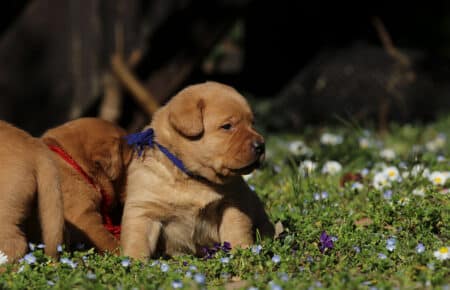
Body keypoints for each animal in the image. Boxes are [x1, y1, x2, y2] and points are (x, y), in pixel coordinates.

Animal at [120, 80, 274, 260]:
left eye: (252, 124)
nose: (261, 145)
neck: (193, 178)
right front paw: (133, 261)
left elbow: (236, 230)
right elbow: (137, 240)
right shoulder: (143, 209)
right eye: (227, 126)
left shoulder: (234, 203)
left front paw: (243, 253)